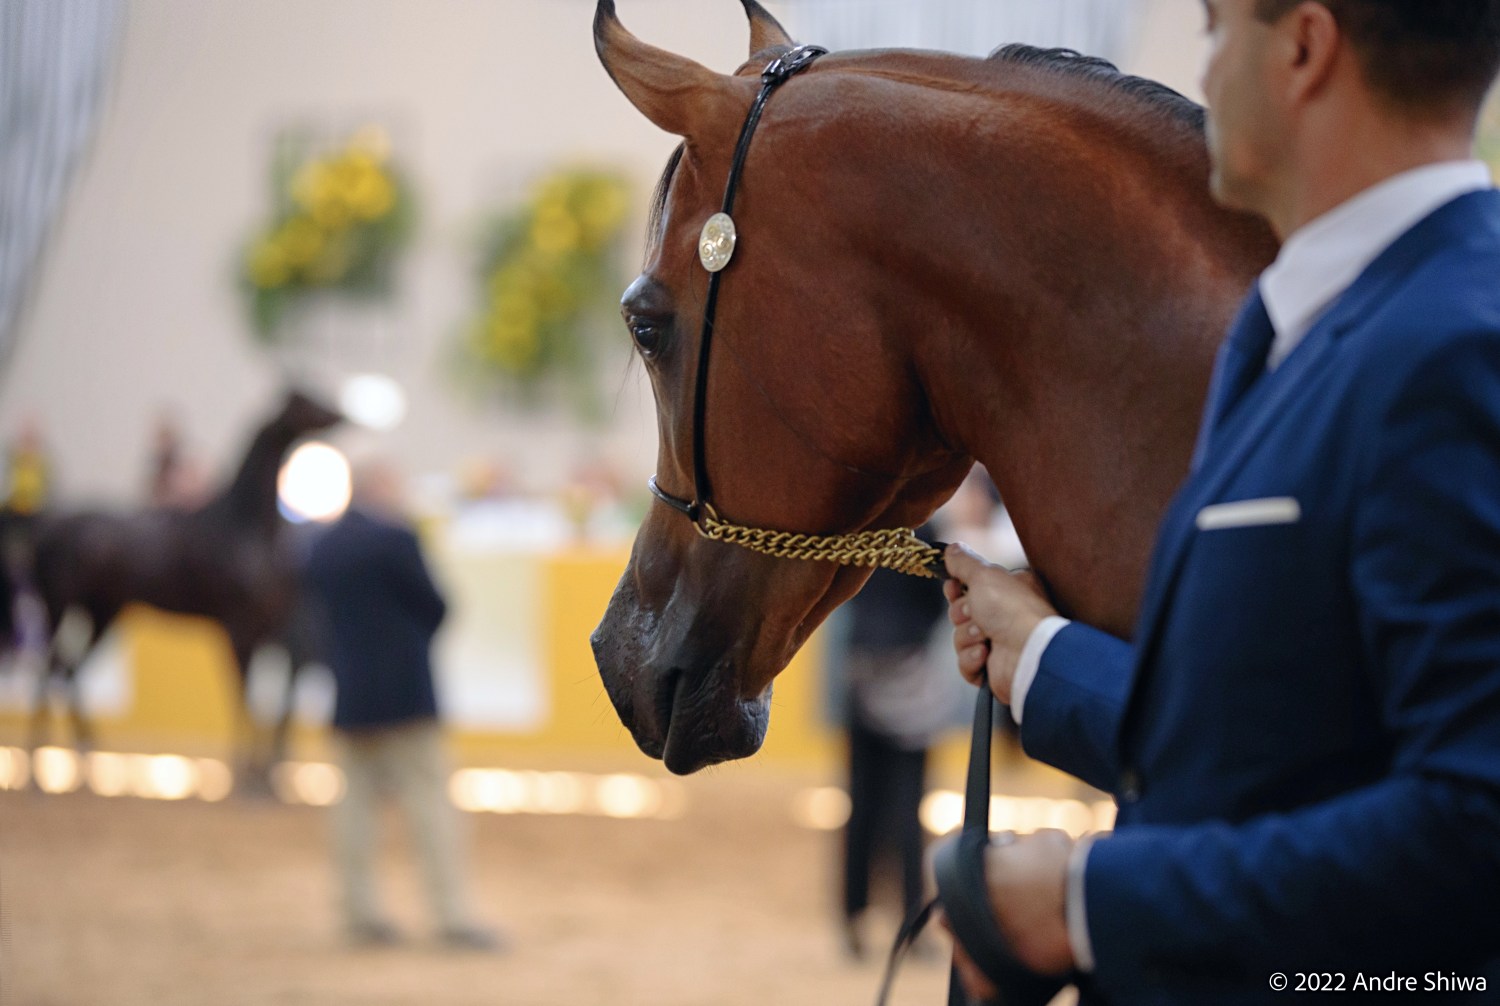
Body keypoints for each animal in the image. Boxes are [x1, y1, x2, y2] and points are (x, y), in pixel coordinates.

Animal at [29, 389, 343, 785]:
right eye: (304, 399)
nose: (340, 415)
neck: (247, 525)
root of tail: (48, 530)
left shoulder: (266, 629)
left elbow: (258, 699)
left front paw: (258, 772)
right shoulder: (239, 629)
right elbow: (242, 696)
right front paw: (242, 770)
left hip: (105, 611)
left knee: (68, 668)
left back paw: (84, 748)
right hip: (59, 605)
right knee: (51, 665)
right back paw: (40, 751)